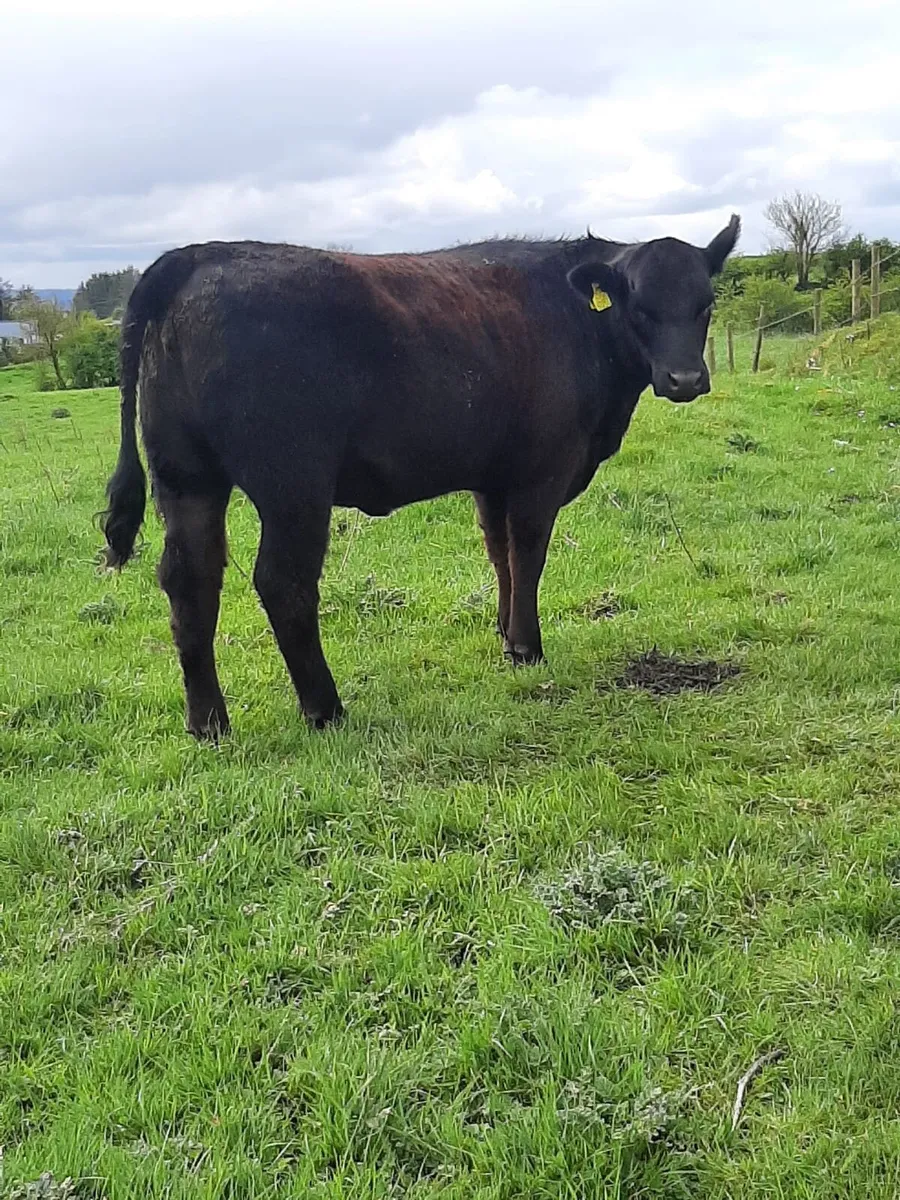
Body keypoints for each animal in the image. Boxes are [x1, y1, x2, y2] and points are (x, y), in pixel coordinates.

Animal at [101, 216, 740, 739]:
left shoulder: (493, 476)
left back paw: (208, 722)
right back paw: (325, 709)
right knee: (283, 583)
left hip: (187, 480)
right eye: (640, 306)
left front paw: (505, 635)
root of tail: (198, 254)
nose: (685, 378)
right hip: (293, 485)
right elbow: (529, 554)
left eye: (706, 304)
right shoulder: (542, 472)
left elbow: (501, 556)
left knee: (190, 581)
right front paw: (528, 647)